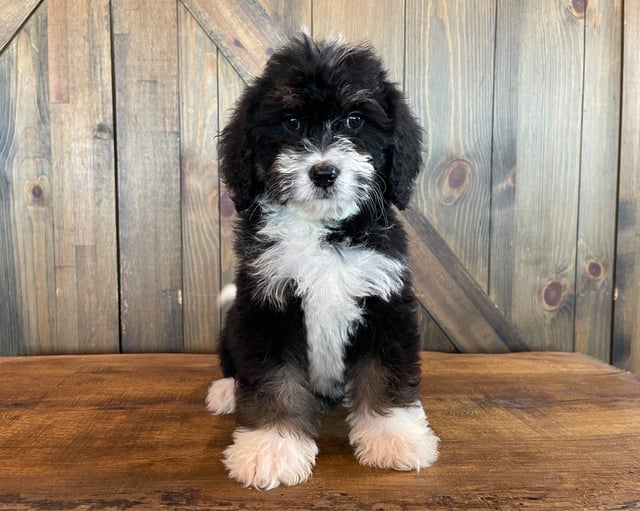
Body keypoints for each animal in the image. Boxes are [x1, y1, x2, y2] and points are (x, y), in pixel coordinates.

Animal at [208, 34, 438, 490]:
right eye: (292, 123)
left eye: (354, 120)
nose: (324, 172)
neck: (322, 232)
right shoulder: (267, 305)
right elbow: (274, 381)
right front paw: (270, 448)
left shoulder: (385, 302)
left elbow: (384, 374)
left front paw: (394, 436)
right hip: (233, 321)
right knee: (230, 359)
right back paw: (226, 391)